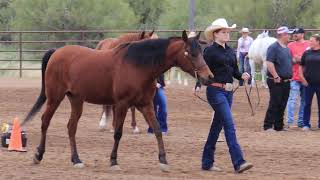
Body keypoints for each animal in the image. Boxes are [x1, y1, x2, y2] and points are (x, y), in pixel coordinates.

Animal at [21, 30, 212, 172]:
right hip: (55, 97)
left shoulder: (145, 105)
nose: (208, 77)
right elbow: (118, 133)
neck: (139, 65)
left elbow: (157, 129)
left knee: (71, 127)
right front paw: (113, 161)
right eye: (192, 53)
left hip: (76, 100)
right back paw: (38, 155)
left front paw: (163, 161)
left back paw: (76, 160)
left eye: (202, 52)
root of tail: (57, 52)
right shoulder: (122, 105)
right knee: (45, 121)